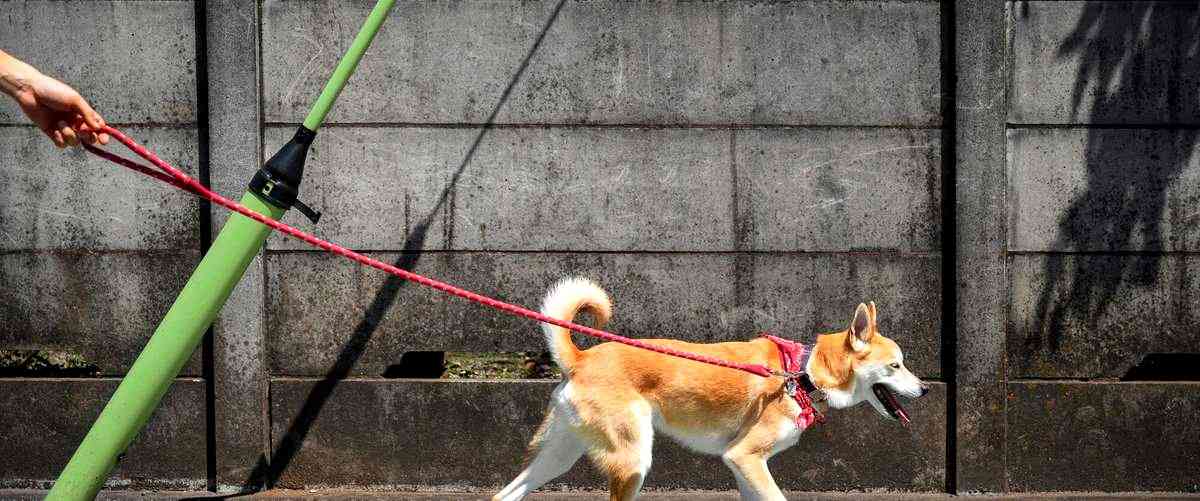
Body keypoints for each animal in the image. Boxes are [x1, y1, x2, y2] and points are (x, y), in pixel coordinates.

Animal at [494, 278, 926, 501]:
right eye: (896, 365)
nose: (923, 388)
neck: (801, 374)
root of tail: (581, 359)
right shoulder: (745, 457)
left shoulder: (745, 466)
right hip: (632, 461)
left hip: (560, 455)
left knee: (505, 495)